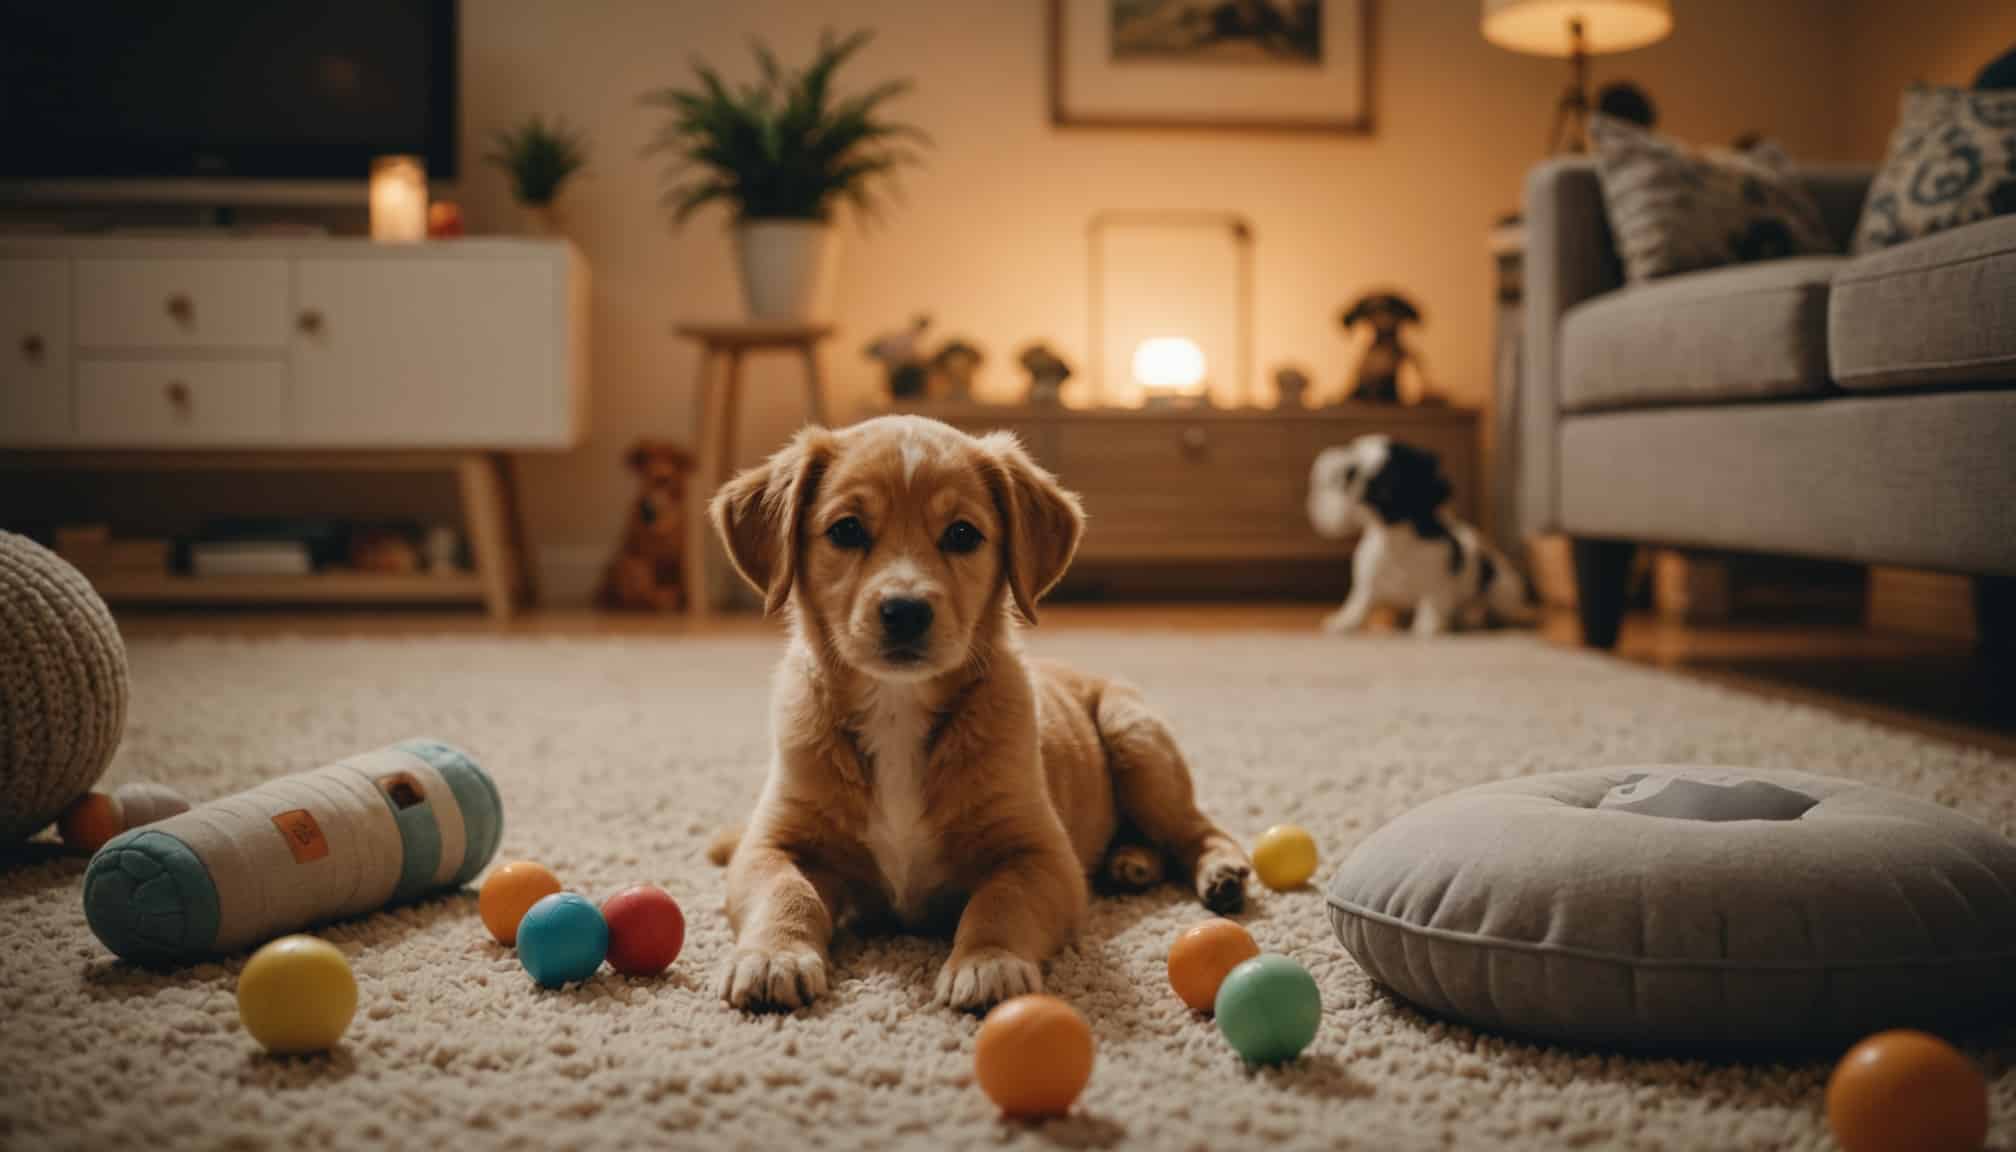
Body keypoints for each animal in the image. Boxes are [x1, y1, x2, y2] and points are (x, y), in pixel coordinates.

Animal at [705, 415, 1241, 1008]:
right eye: (846, 530)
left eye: (962, 535)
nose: (905, 611)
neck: (896, 709)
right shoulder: (772, 842)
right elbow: (786, 889)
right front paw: (773, 955)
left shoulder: (1041, 856)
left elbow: (1000, 900)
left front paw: (989, 962)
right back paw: (1133, 862)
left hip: (1137, 743)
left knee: (1198, 826)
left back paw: (1220, 872)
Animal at [1298, 437, 1532, 641]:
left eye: (1383, 479)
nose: (1342, 469)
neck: (1395, 539)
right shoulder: (1367, 583)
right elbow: (1358, 604)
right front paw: (1344, 621)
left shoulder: (1436, 584)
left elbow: (1431, 607)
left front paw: (1428, 627)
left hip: (1501, 589)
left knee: (1486, 606)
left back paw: (1474, 616)